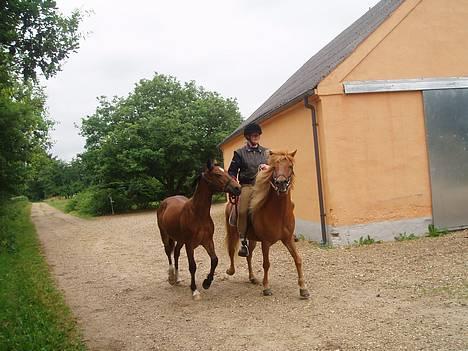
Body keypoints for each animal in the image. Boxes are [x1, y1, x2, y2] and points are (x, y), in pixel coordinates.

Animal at [157, 161, 241, 302]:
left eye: (226, 172)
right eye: (217, 174)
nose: (237, 188)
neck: (198, 214)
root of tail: (166, 201)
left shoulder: (207, 241)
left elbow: (215, 260)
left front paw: (207, 282)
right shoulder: (190, 245)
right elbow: (192, 266)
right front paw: (194, 290)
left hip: (180, 240)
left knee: (176, 254)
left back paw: (178, 279)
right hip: (165, 235)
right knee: (168, 252)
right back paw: (171, 277)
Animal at [225, 151, 308, 300]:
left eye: (290, 166)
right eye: (274, 167)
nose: (281, 183)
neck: (279, 213)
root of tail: (231, 202)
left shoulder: (288, 239)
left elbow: (297, 259)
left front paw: (303, 288)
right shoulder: (266, 242)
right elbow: (266, 264)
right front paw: (266, 288)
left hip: (251, 239)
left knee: (249, 256)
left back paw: (252, 278)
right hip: (232, 233)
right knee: (231, 250)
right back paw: (231, 270)